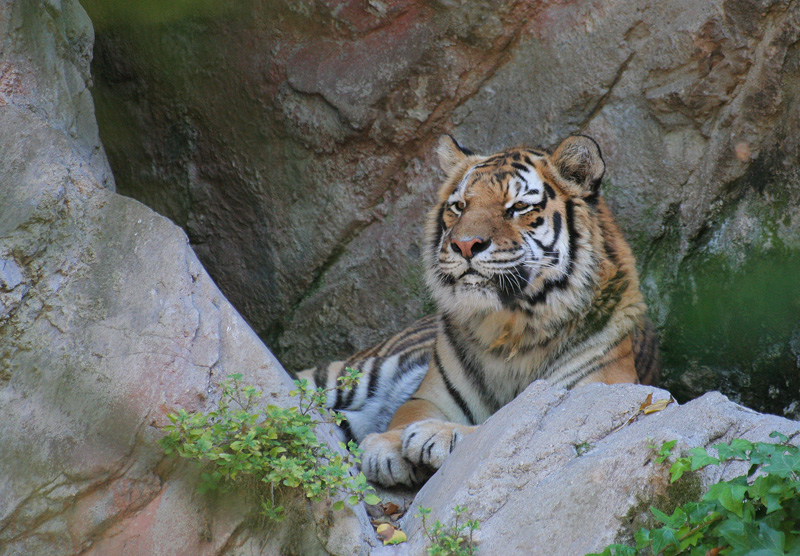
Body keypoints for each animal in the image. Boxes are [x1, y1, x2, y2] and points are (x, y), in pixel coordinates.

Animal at [298, 134, 660, 488]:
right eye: (459, 206)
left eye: (518, 207)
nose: (465, 245)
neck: (511, 327)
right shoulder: (429, 397)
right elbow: (406, 413)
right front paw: (387, 444)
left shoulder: (587, 399)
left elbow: (496, 424)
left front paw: (434, 434)